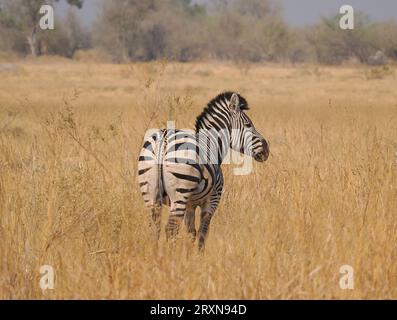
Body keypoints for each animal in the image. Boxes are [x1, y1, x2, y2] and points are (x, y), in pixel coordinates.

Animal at [137, 92, 270, 250]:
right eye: (248, 125)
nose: (267, 149)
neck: (212, 144)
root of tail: (163, 139)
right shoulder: (212, 200)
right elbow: (202, 233)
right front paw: (198, 254)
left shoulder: (190, 204)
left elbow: (191, 233)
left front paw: (188, 254)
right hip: (180, 193)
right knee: (171, 229)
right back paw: (170, 255)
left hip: (150, 193)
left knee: (154, 228)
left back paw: (156, 253)